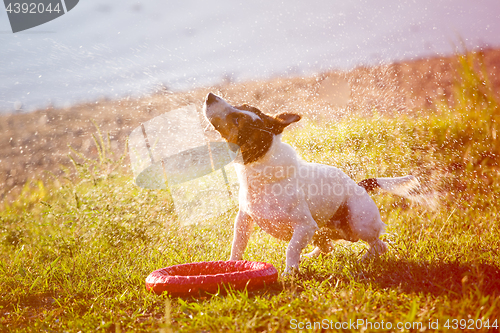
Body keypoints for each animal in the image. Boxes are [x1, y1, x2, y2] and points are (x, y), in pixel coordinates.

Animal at [203, 92, 418, 274]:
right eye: (241, 105)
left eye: (237, 119)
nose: (210, 96)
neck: (260, 169)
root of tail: (359, 186)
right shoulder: (244, 220)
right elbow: (237, 245)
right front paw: (232, 265)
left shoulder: (305, 225)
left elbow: (291, 248)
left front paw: (289, 273)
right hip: (324, 230)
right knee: (328, 245)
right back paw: (312, 255)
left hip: (358, 222)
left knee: (380, 246)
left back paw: (363, 260)